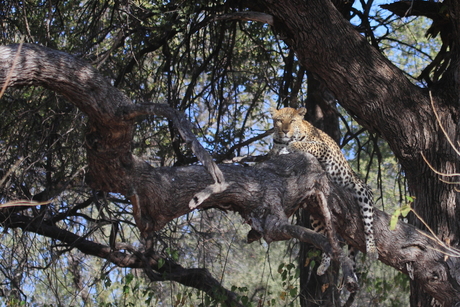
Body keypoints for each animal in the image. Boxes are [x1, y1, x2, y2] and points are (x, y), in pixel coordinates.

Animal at [270, 107, 378, 276]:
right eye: (279, 121)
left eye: (293, 121)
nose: (286, 131)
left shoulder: (322, 148)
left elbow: (306, 144)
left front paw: (292, 145)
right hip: (316, 216)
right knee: (326, 239)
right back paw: (323, 266)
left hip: (362, 192)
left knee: (368, 225)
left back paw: (372, 250)